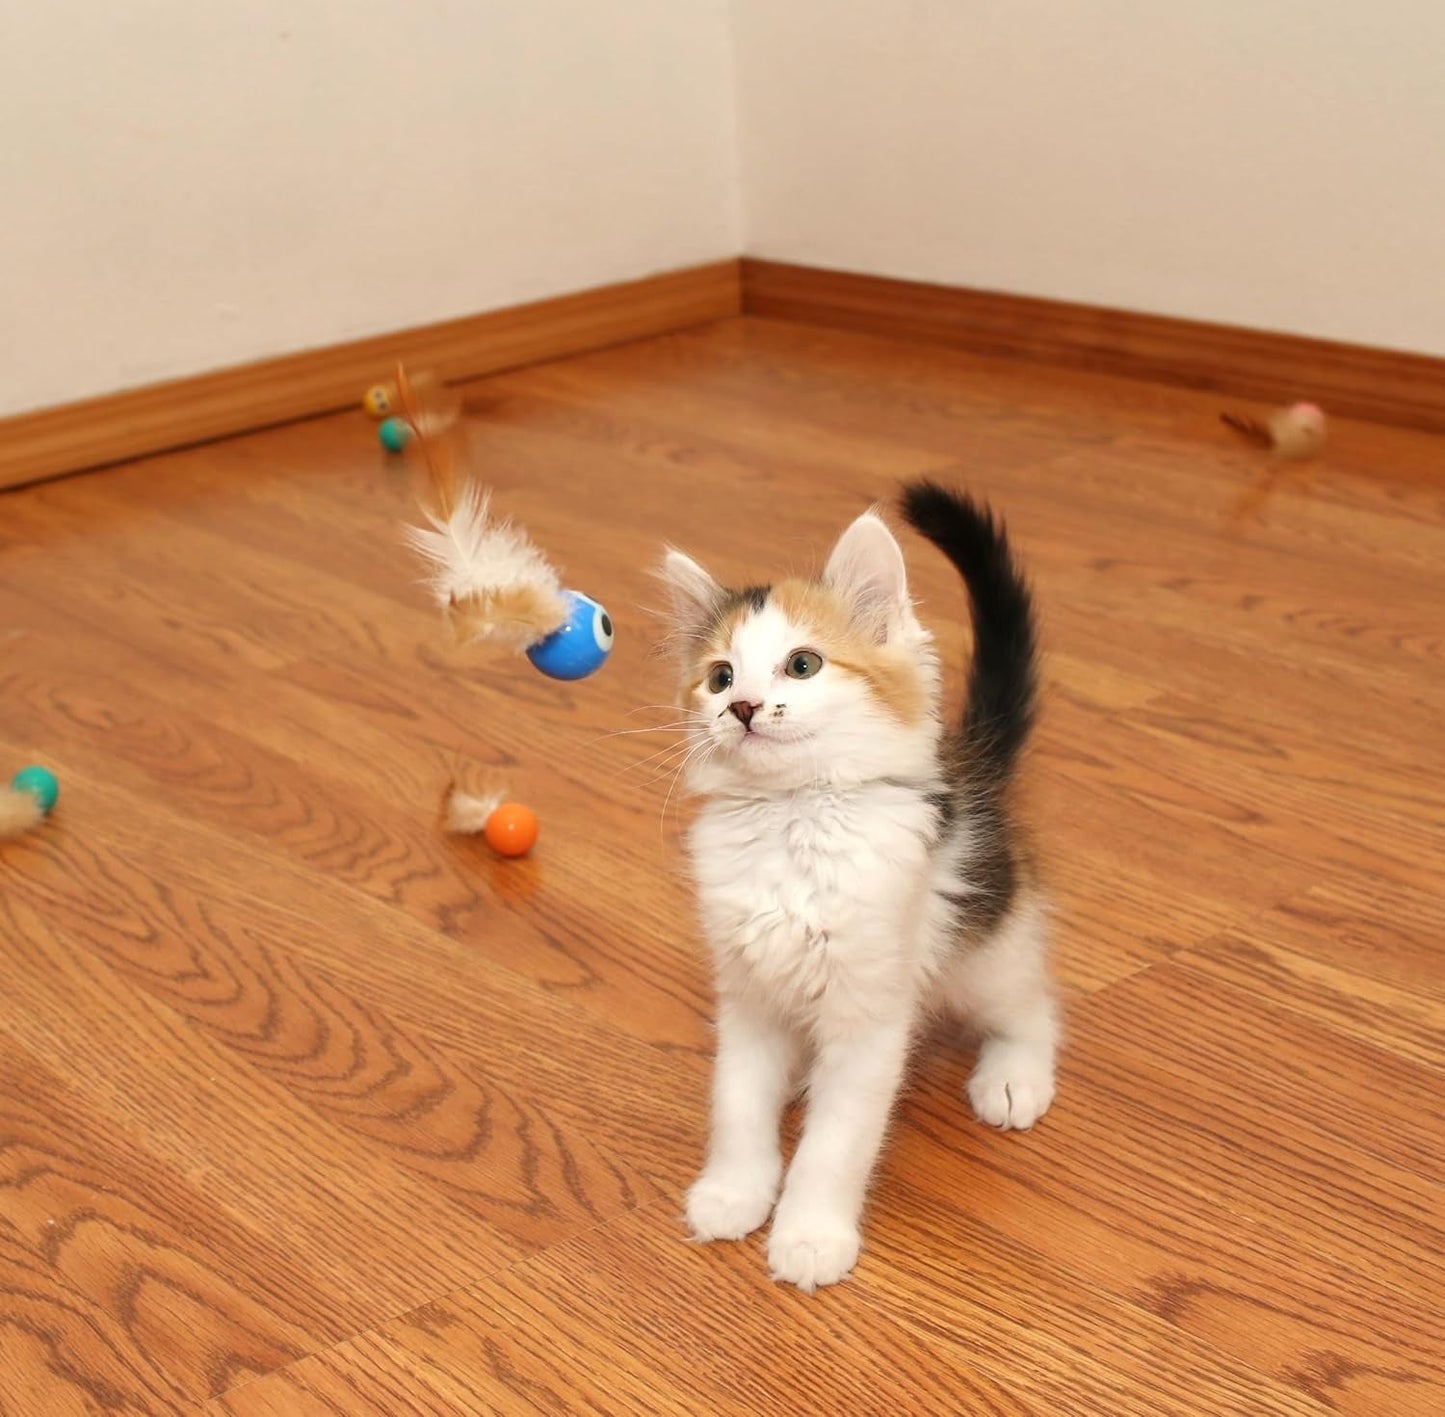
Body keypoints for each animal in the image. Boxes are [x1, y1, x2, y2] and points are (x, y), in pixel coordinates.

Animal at [661, 479, 1057, 1294]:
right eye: (719, 677)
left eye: (802, 665)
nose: (742, 708)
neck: (791, 822)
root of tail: (970, 766)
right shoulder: (747, 994)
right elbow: (736, 1103)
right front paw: (734, 1191)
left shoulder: (869, 1013)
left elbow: (835, 1142)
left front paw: (811, 1236)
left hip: (982, 951)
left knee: (1034, 1006)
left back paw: (1015, 1076)